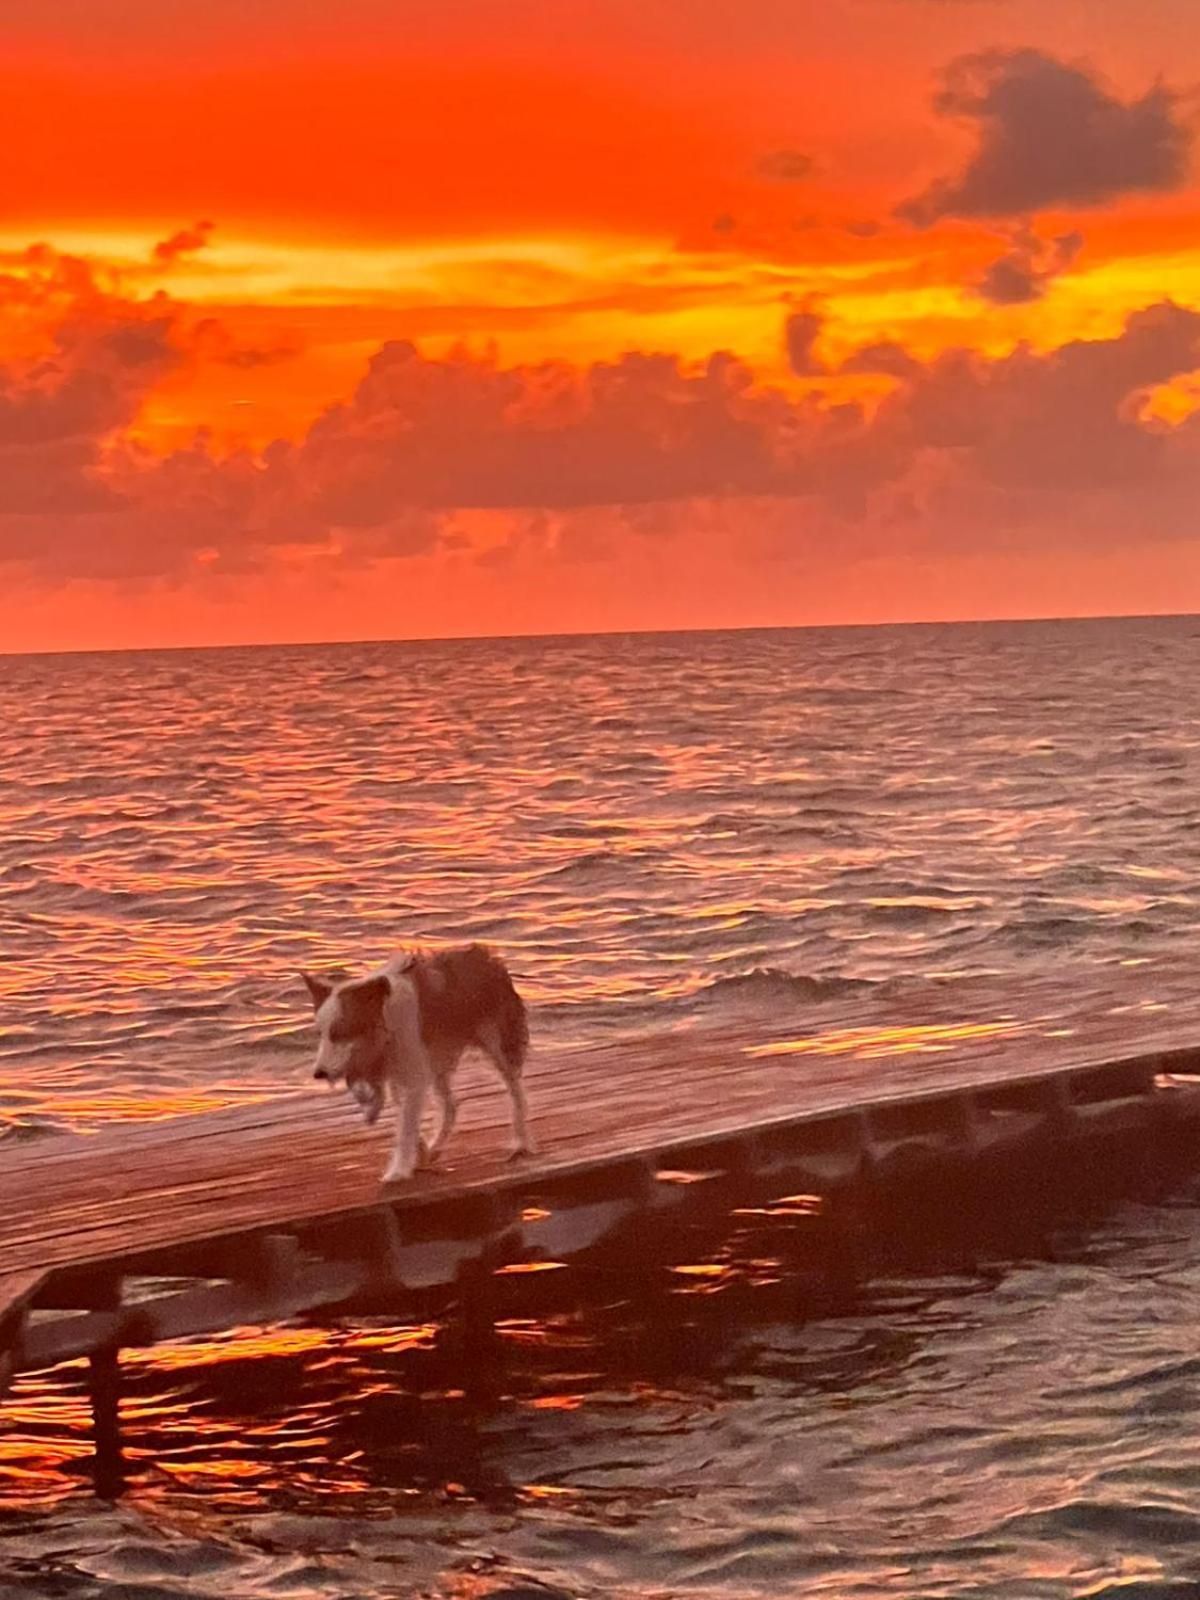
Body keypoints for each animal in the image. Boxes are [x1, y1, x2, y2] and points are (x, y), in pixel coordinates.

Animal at [305, 940, 534, 1184]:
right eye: (320, 1034)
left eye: (339, 1034)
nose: (318, 1074)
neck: (385, 1020)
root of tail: (487, 954)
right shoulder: (398, 1073)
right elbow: (406, 1119)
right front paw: (419, 1151)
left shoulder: (413, 1075)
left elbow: (406, 1127)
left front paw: (398, 1170)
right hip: (436, 1062)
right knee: (450, 1106)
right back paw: (434, 1147)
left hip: (497, 1044)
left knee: (516, 1093)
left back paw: (521, 1143)